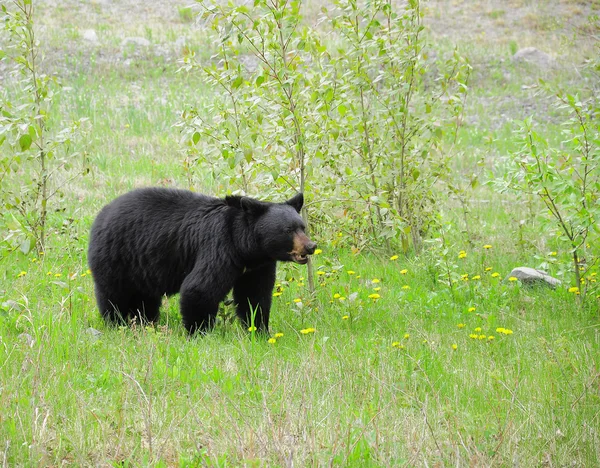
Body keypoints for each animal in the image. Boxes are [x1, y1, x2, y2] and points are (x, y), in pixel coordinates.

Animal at [88, 188, 318, 334]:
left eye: (302, 227)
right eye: (288, 230)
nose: (311, 246)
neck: (245, 247)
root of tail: (102, 213)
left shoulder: (258, 266)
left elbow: (255, 296)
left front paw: (259, 330)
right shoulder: (219, 247)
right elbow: (200, 288)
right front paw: (199, 332)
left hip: (142, 266)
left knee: (145, 298)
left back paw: (146, 322)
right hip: (117, 256)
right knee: (114, 294)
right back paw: (117, 323)